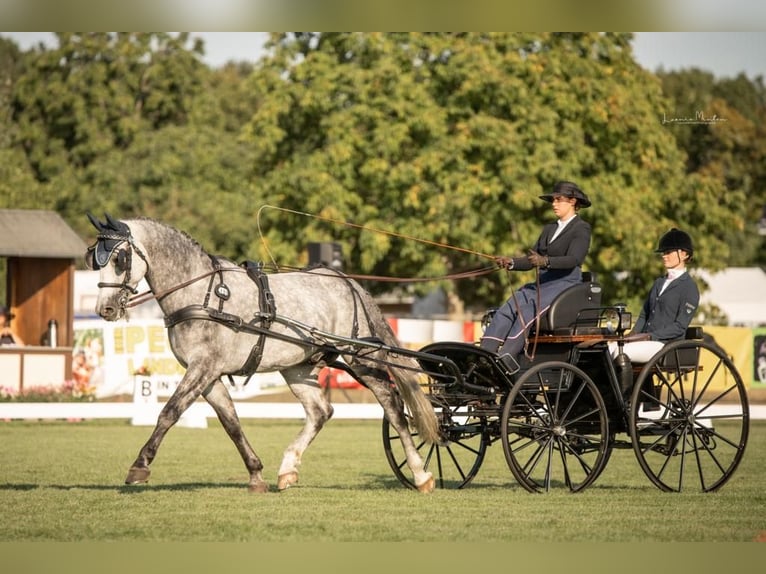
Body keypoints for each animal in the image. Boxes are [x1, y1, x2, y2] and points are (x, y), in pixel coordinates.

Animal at [87, 216, 440, 496]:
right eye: (96, 260)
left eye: (119, 259)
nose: (105, 310)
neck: (201, 294)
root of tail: (348, 282)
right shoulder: (209, 374)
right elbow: (231, 423)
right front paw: (256, 474)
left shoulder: (202, 368)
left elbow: (169, 412)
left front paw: (140, 465)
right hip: (299, 367)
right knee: (320, 411)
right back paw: (287, 469)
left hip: (361, 357)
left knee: (393, 407)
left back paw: (420, 474)